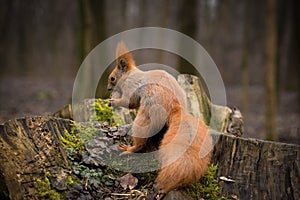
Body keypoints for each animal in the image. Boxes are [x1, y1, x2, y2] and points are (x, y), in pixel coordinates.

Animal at [106, 41, 212, 193]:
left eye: (112, 78)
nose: (108, 89)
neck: (129, 75)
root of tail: (176, 108)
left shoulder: (130, 87)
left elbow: (128, 102)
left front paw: (113, 101)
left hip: (146, 116)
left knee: (140, 143)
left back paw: (128, 149)